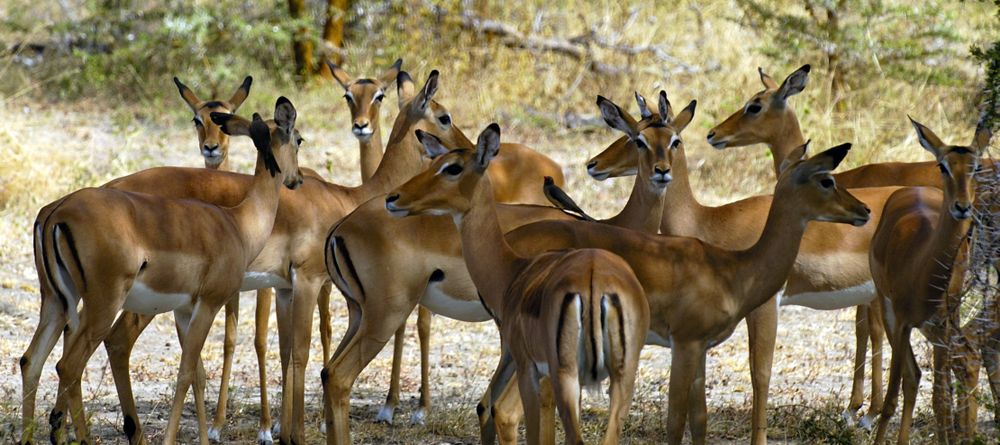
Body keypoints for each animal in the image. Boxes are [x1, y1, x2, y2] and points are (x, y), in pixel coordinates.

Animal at [24, 98, 304, 444]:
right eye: (298, 139)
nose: (297, 179)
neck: (238, 222)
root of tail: (56, 213)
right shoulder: (209, 304)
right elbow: (185, 373)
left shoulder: (184, 310)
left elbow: (196, 374)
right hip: (102, 307)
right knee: (69, 366)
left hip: (56, 302)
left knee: (31, 361)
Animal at [385, 124, 650, 445]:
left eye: (453, 168)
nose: (394, 198)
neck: (511, 268)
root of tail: (593, 281)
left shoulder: (528, 367)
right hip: (620, 376)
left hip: (561, 374)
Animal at [503, 141, 871, 444]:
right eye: (826, 180)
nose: (864, 210)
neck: (733, 269)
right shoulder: (685, 343)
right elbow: (675, 422)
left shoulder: (701, 348)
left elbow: (699, 420)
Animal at [871, 120, 991, 444]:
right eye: (943, 165)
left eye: (975, 166)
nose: (962, 206)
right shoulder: (901, 323)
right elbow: (891, 397)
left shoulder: (941, 329)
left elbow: (941, 402)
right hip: (887, 309)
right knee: (909, 378)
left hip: (936, 331)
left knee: (922, 381)